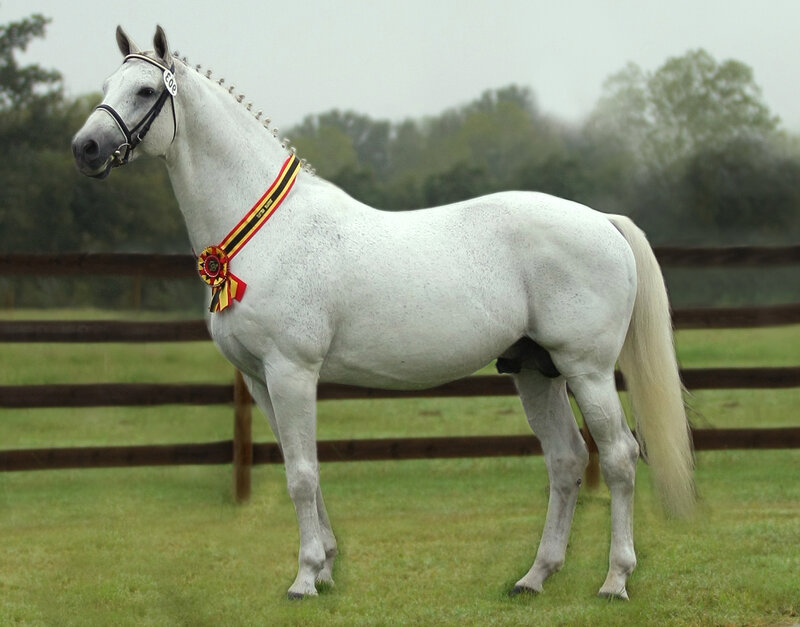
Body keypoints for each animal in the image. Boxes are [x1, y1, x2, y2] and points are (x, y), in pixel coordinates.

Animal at [72, 26, 694, 601]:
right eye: (107, 85)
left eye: (145, 89)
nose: (86, 148)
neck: (265, 232)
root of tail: (602, 220)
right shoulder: (259, 380)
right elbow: (303, 469)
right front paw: (324, 566)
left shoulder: (292, 372)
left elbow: (301, 476)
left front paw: (304, 579)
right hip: (534, 371)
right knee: (566, 461)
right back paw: (534, 577)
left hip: (586, 370)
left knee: (618, 457)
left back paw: (614, 580)